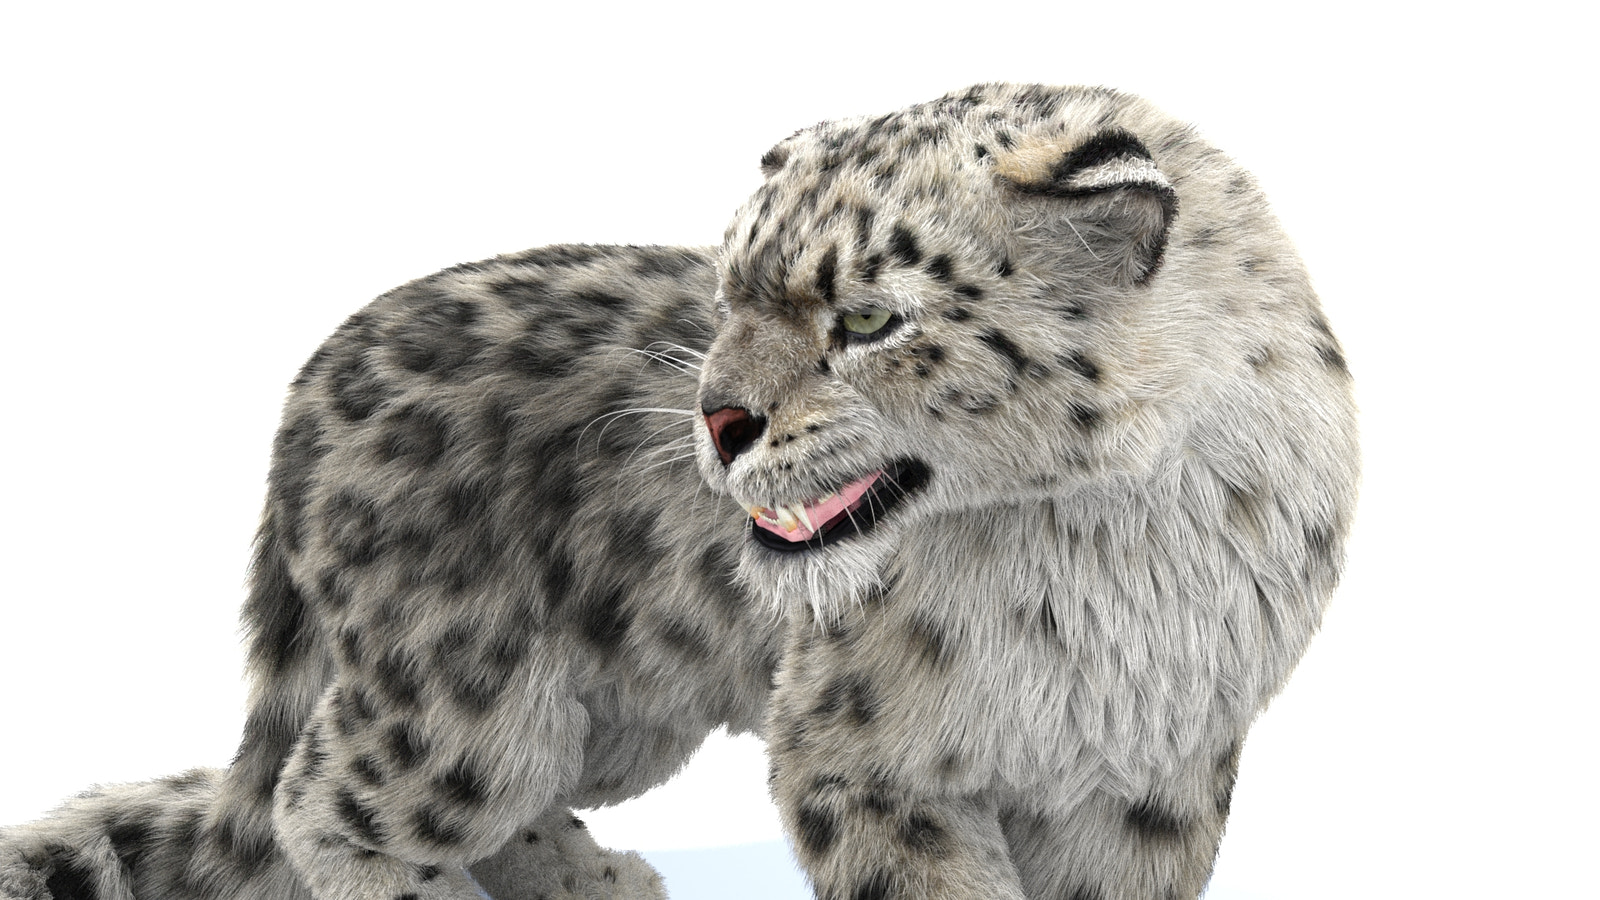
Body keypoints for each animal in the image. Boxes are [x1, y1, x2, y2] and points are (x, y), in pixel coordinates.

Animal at [0, 83, 1357, 900]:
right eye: (728, 294)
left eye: (869, 317)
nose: (718, 420)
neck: (1101, 555)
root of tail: (312, 384)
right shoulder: (866, 758)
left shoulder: (1152, 771)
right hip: (464, 696)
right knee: (324, 798)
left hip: (612, 708)